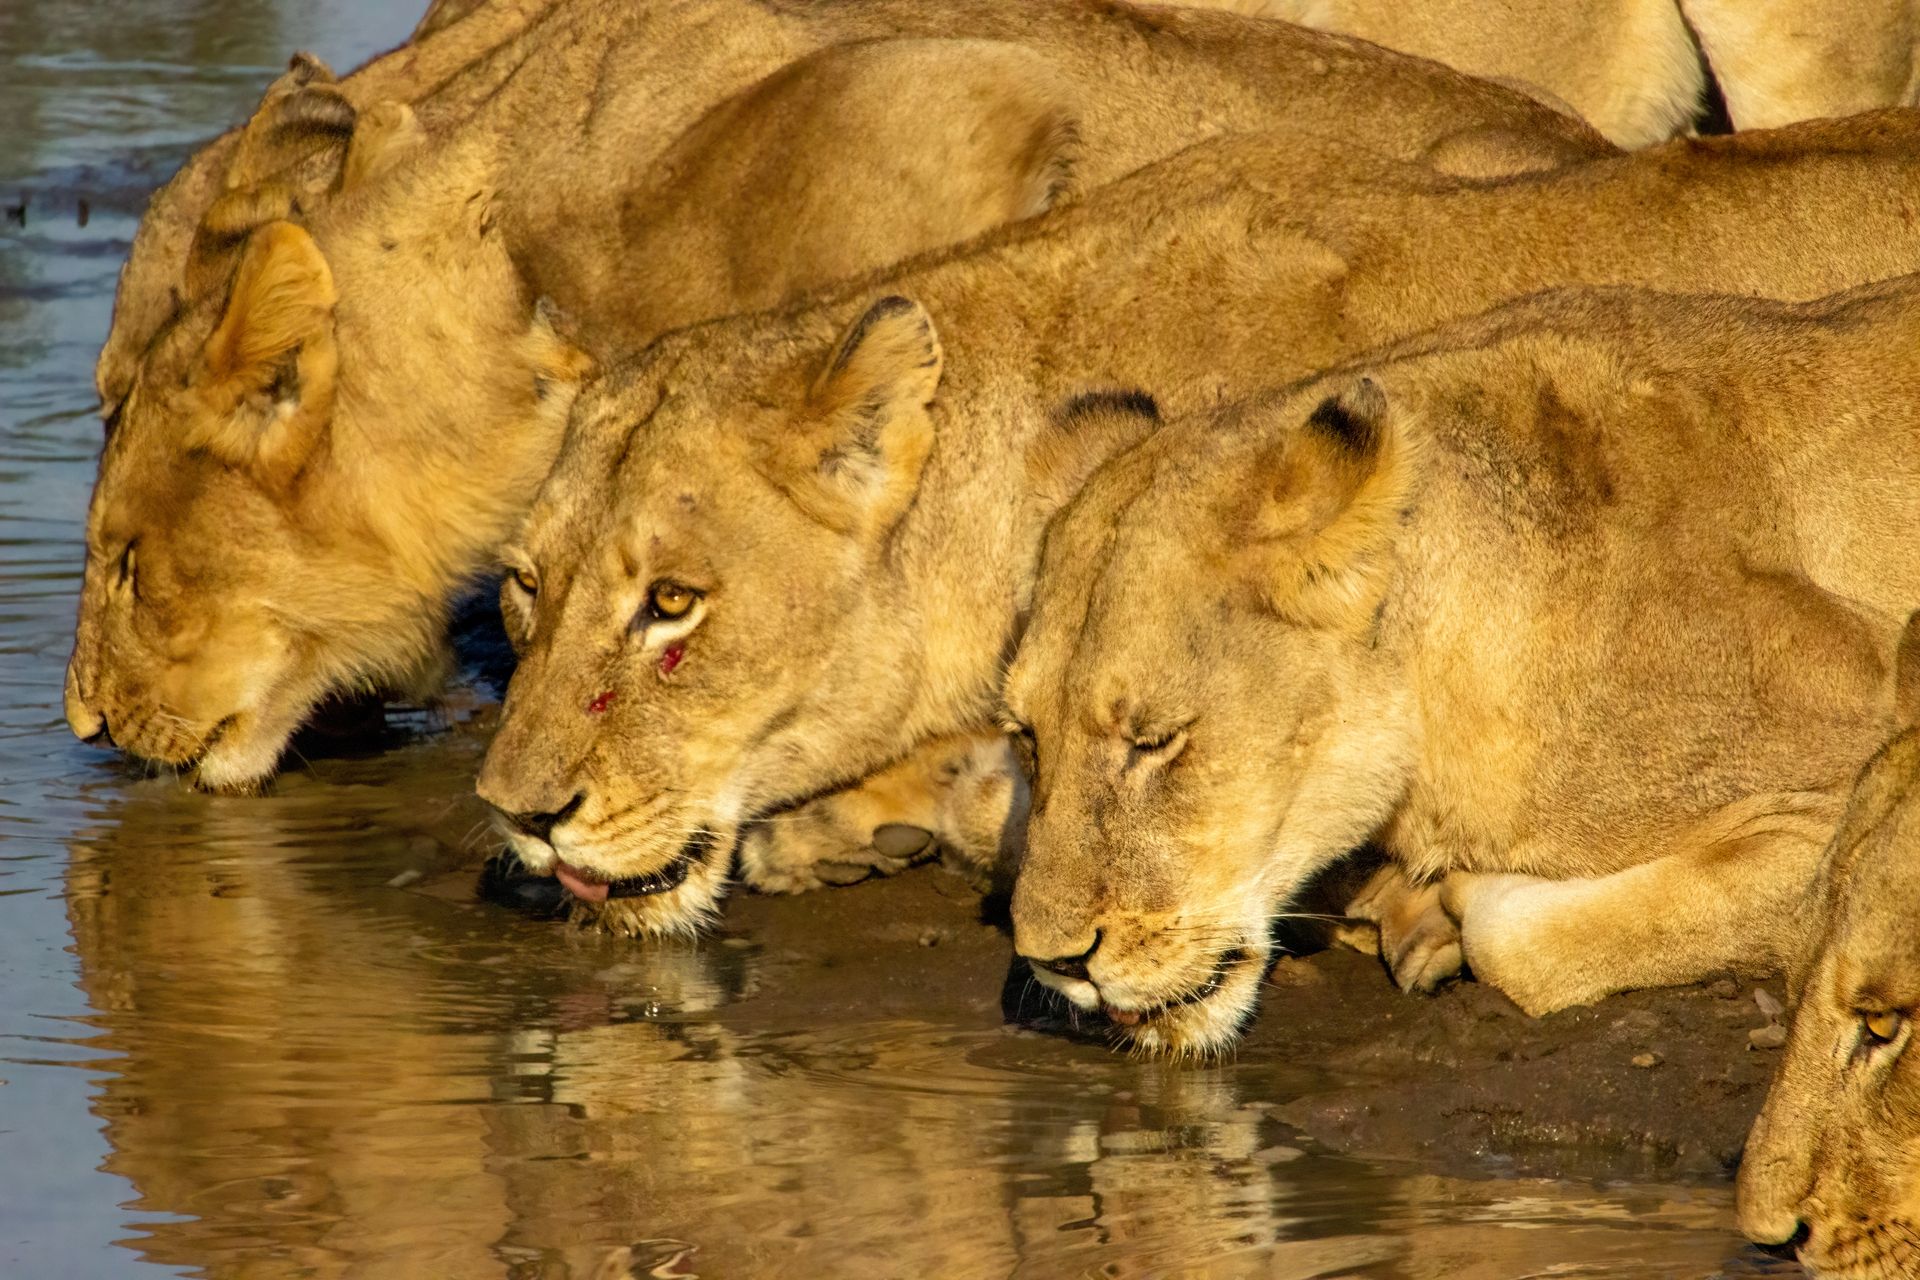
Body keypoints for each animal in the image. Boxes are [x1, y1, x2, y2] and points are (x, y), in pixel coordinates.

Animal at [1000, 278, 1920, 1057]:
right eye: (1026, 739)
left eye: (1155, 741)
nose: (1054, 962)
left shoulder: (1848, 774)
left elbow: (1518, 936)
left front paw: (1448, 906)